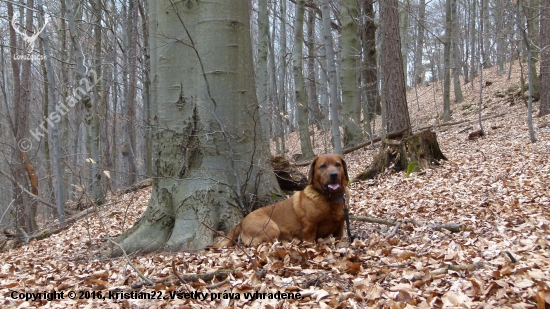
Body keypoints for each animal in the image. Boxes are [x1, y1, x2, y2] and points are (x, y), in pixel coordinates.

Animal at [213, 153, 352, 247]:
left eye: (338, 164)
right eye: (322, 166)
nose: (334, 175)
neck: (330, 198)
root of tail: (241, 222)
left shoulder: (340, 228)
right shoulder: (309, 229)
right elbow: (310, 241)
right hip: (271, 228)